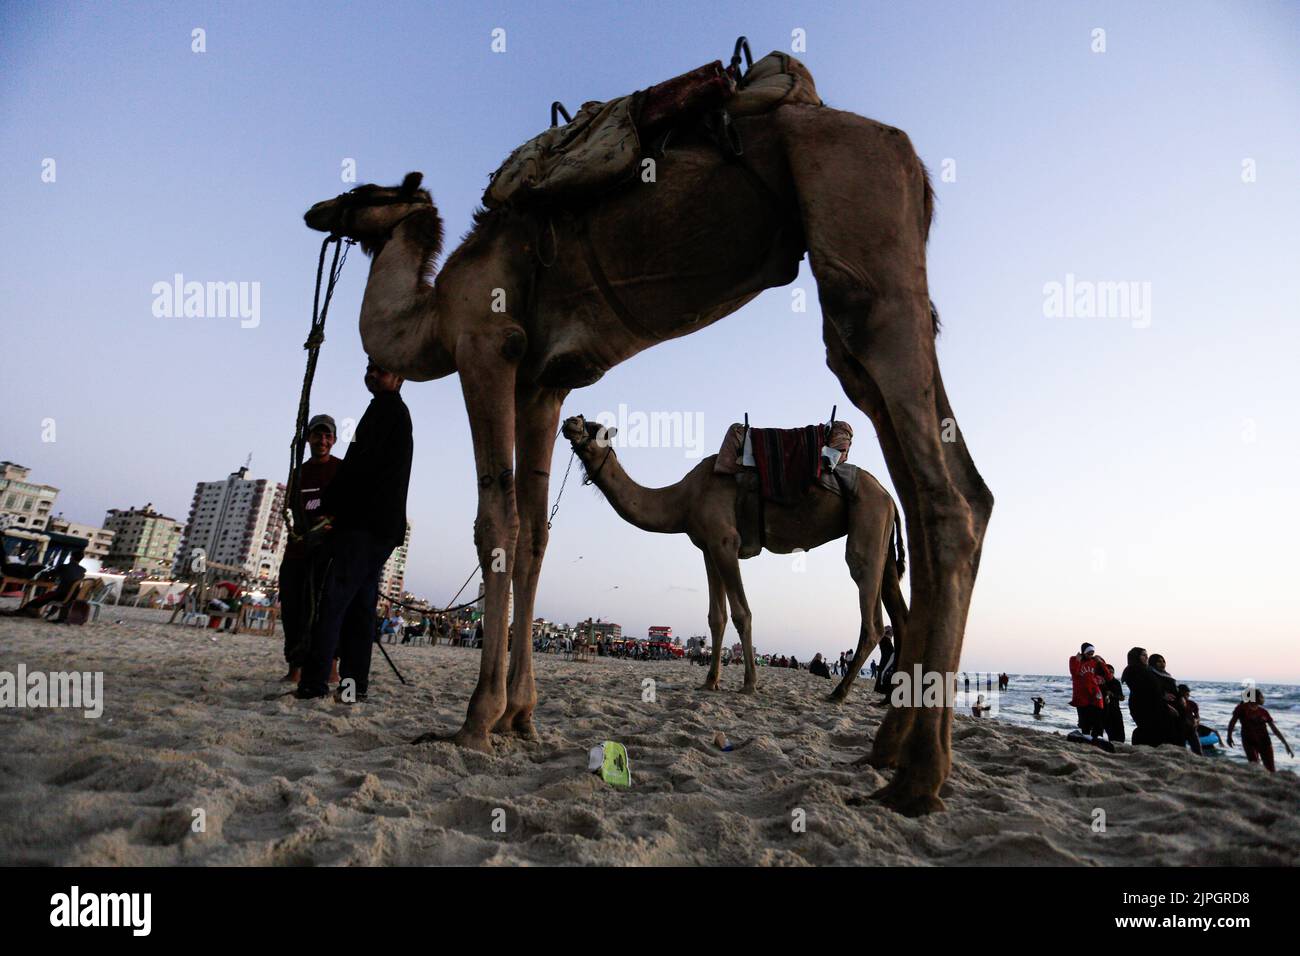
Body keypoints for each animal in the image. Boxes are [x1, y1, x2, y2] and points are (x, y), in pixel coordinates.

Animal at [560, 415, 907, 699]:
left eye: (596, 428)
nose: (570, 421)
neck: (684, 498)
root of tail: (890, 497)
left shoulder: (725, 542)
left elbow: (742, 613)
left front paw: (749, 684)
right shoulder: (708, 548)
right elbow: (717, 617)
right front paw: (709, 682)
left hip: (868, 521)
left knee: (871, 614)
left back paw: (839, 692)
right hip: (883, 542)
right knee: (897, 609)